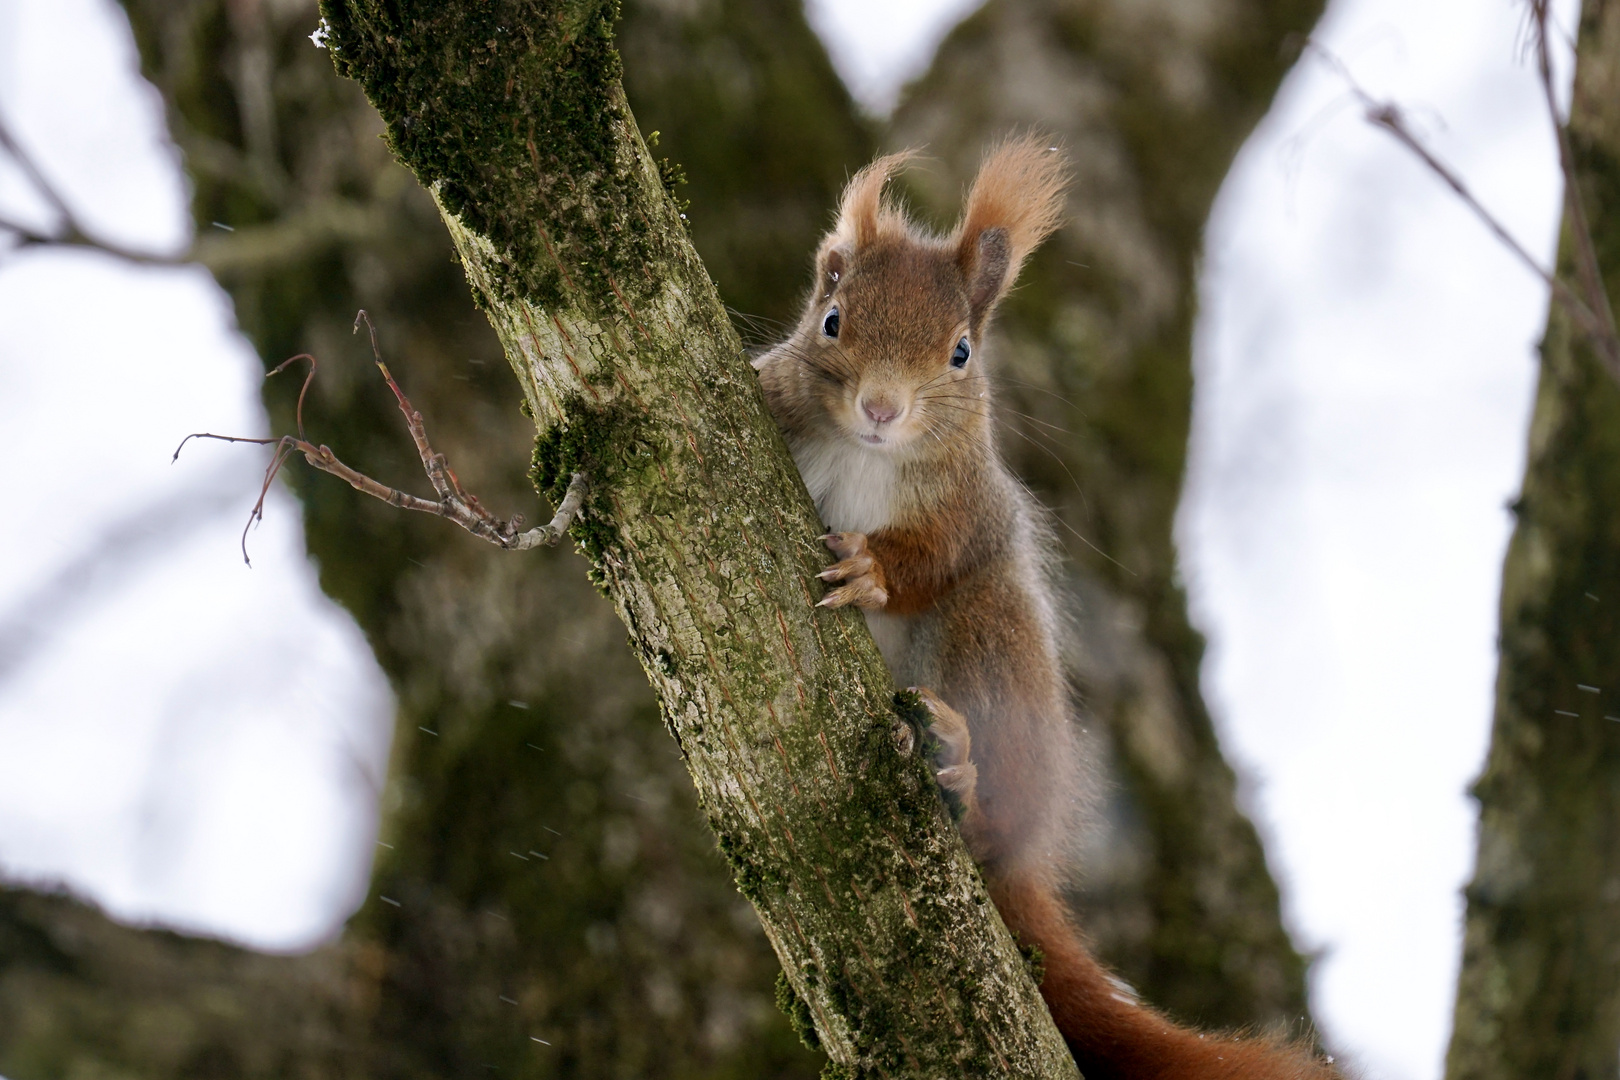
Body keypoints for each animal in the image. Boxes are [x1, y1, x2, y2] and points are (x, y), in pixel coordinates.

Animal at [751, 137, 1334, 1080]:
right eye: (832, 320)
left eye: (960, 352)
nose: (881, 407)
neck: (866, 454)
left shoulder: (975, 508)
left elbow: (938, 558)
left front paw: (874, 571)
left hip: (994, 644)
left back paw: (960, 770)